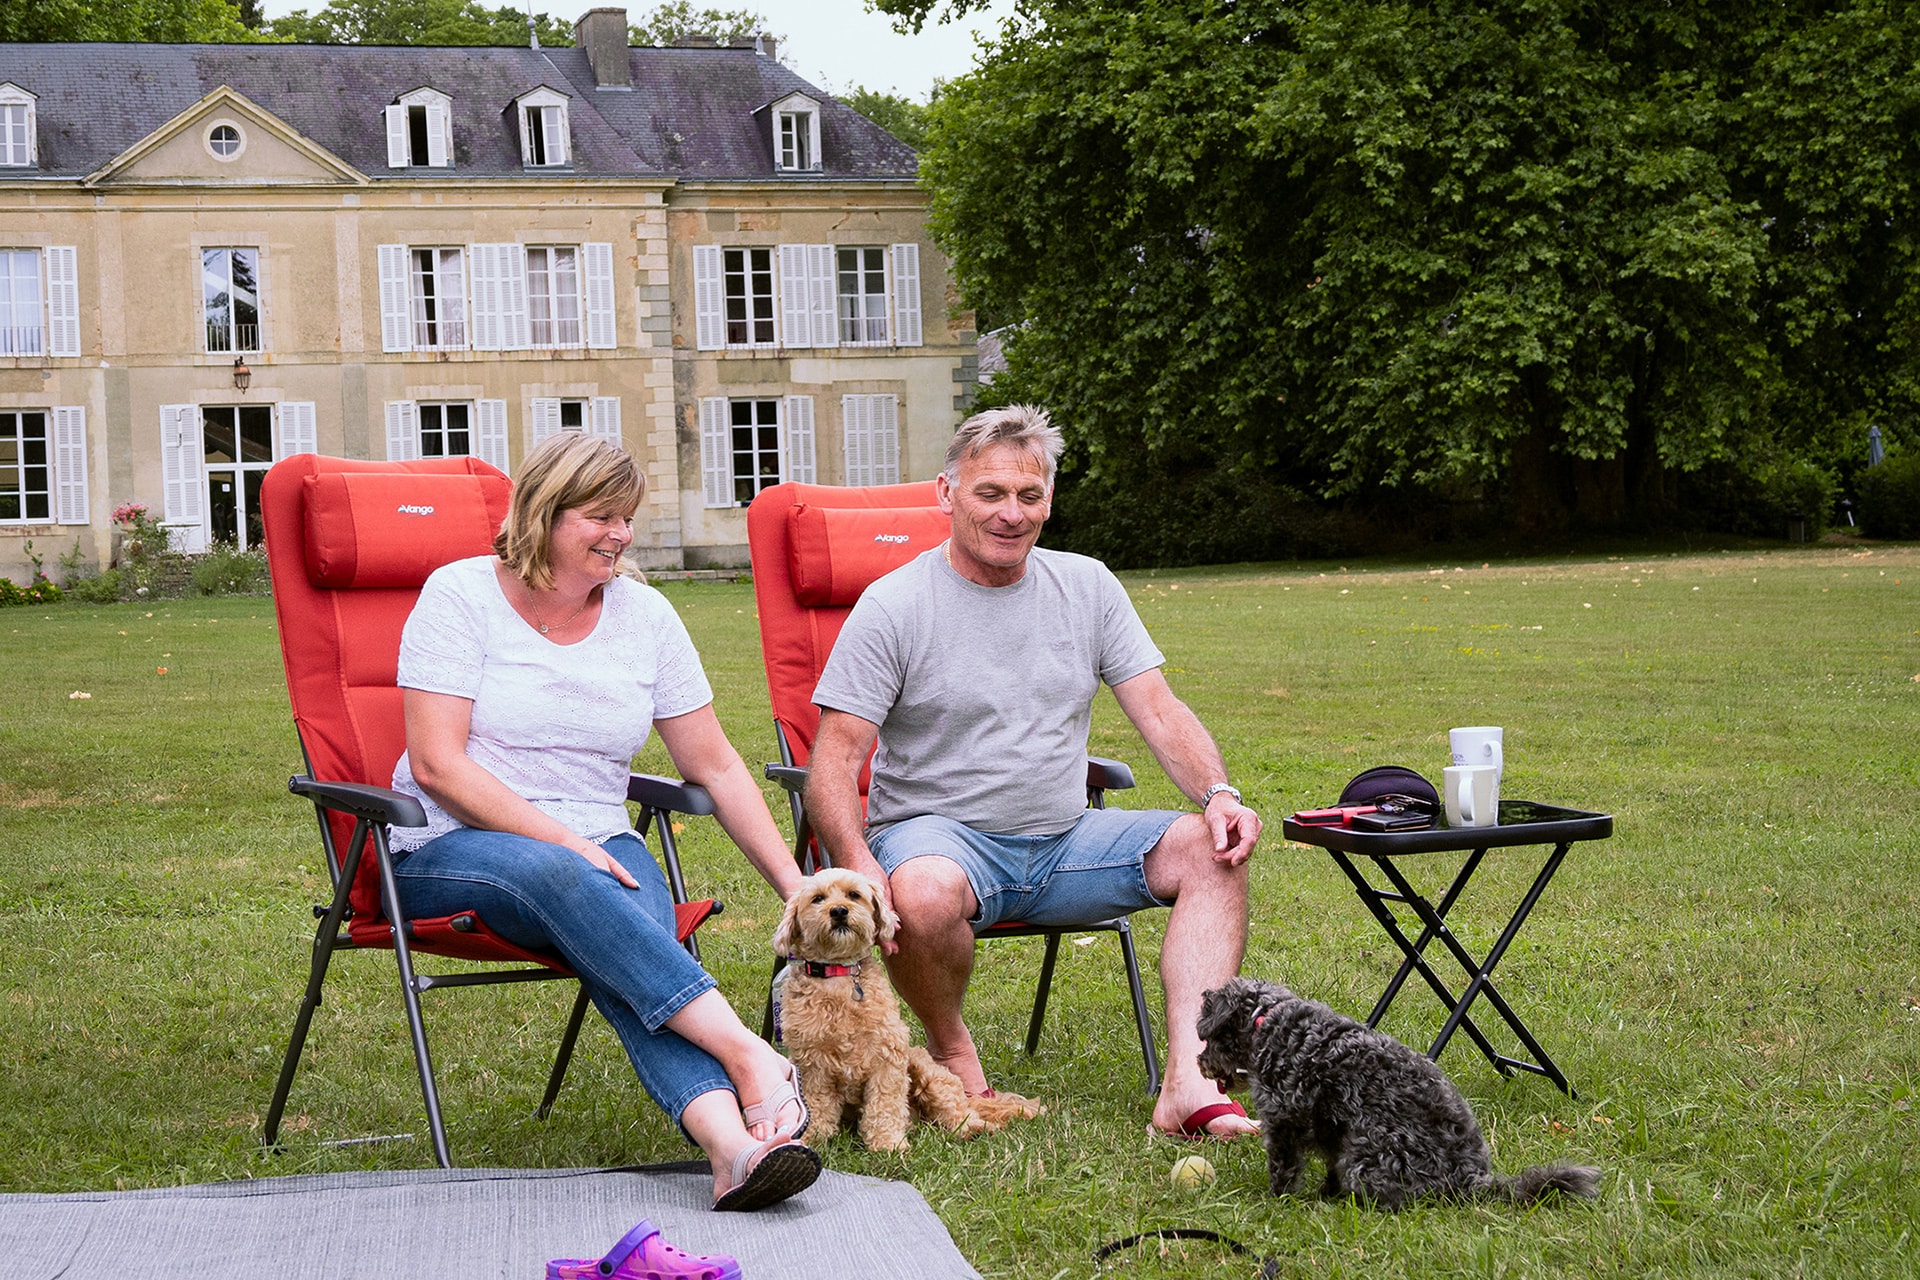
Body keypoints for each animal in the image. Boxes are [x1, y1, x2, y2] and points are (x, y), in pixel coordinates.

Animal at [1190, 982, 1597, 1212]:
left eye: (1208, 1038)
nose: (1200, 1064)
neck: (1272, 1022)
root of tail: (1470, 1176)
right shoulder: (1333, 1130)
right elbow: (1330, 1166)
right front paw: (1325, 1192)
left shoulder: (1283, 1123)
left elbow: (1283, 1169)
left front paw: (1278, 1200)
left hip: (1369, 1162)